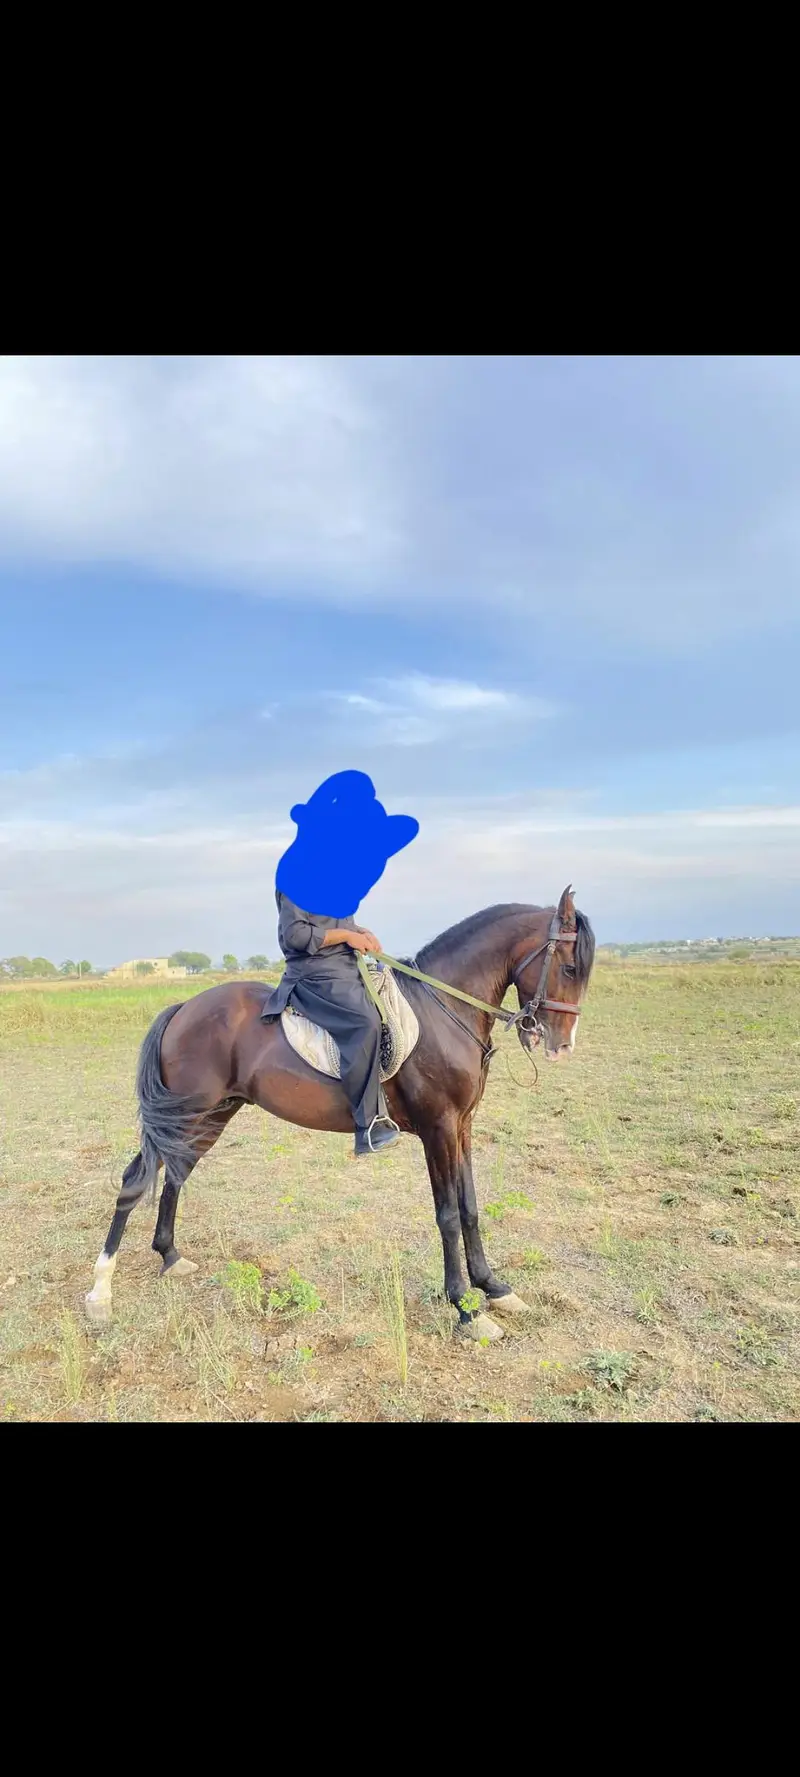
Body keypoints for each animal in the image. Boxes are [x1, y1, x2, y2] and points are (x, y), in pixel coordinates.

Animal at [85, 886, 595, 1340]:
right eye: (569, 966)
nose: (561, 1046)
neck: (443, 1010)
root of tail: (183, 1008)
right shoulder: (438, 1129)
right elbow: (448, 1215)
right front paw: (465, 1311)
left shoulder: (462, 1127)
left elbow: (470, 1208)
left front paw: (494, 1288)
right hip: (190, 1113)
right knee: (136, 1180)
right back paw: (100, 1294)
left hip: (210, 1116)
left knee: (174, 1173)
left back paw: (169, 1257)